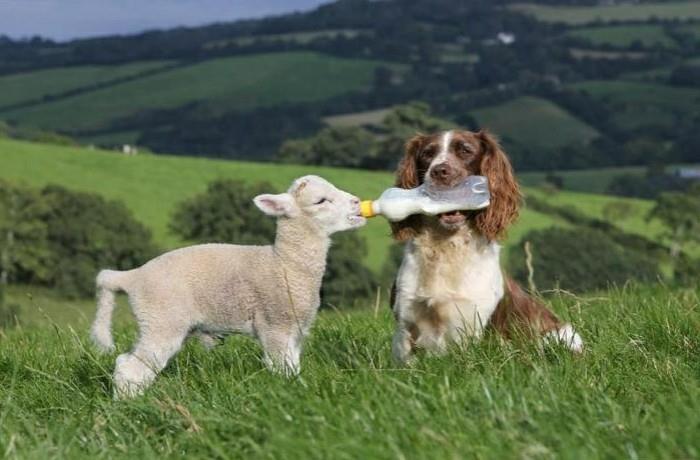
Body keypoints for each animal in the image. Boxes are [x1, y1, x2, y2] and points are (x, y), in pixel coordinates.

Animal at [90, 174, 366, 398]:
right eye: (321, 201)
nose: (356, 202)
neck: (284, 263)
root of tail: (131, 276)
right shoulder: (275, 325)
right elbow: (282, 368)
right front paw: (289, 392)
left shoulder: (295, 329)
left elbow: (293, 365)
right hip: (162, 320)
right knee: (131, 367)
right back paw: (127, 406)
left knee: (129, 363)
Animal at [388, 129, 580, 362]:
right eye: (427, 154)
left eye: (465, 150)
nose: (440, 171)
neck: (447, 245)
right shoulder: (406, 321)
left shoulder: (475, 324)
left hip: (560, 336)